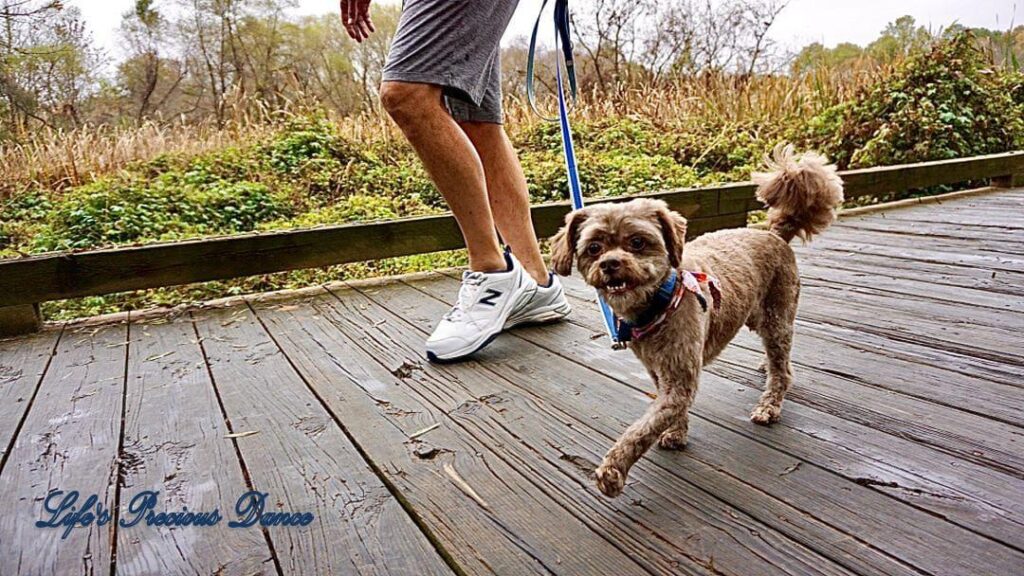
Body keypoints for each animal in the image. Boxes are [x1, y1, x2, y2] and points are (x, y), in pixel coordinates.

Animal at [548, 142, 843, 494]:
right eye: (593, 248)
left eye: (637, 242)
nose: (609, 264)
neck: (658, 305)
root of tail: (773, 234)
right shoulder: (659, 372)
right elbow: (667, 413)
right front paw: (676, 433)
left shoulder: (680, 376)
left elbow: (643, 427)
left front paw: (614, 468)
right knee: (780, 360)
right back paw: (767, 367)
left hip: (776, 315)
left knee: (781, 369)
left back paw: (769, 405)